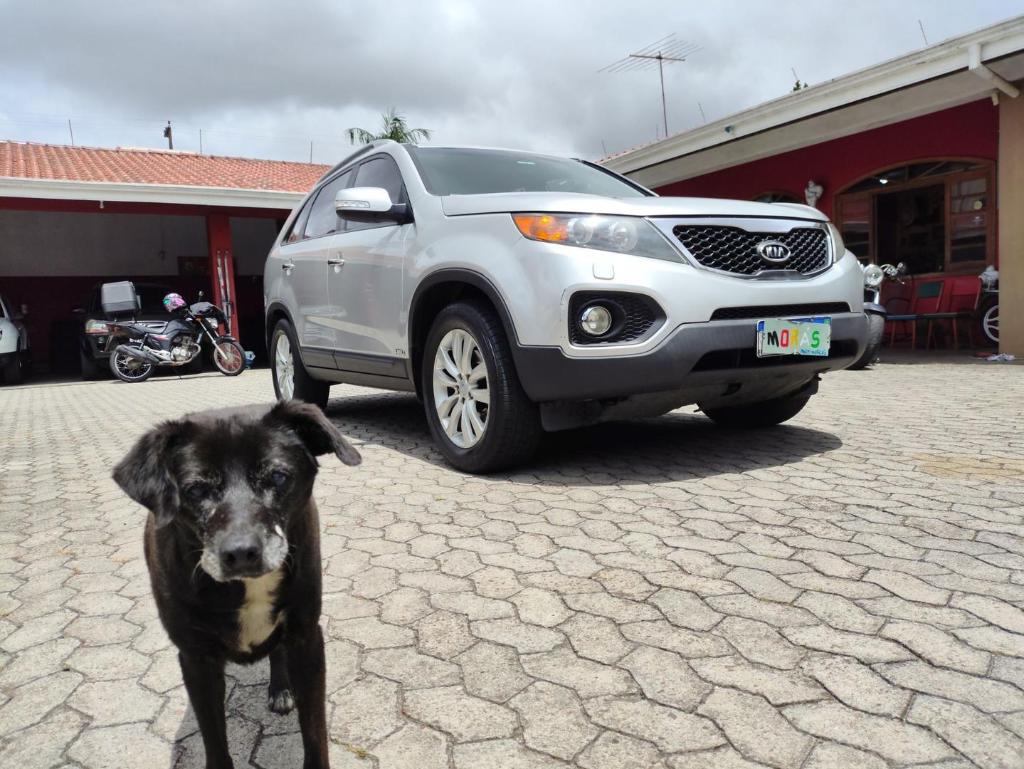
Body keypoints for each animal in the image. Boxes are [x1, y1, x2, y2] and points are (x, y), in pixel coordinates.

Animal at [113, 400, 360, 769]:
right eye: (196, 489)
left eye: (277, 476)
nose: (241, 553)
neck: (246, 587)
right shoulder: (196, 658)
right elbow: (214, 737)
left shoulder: (306, 637)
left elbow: (315, 731)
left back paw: (280, 688)